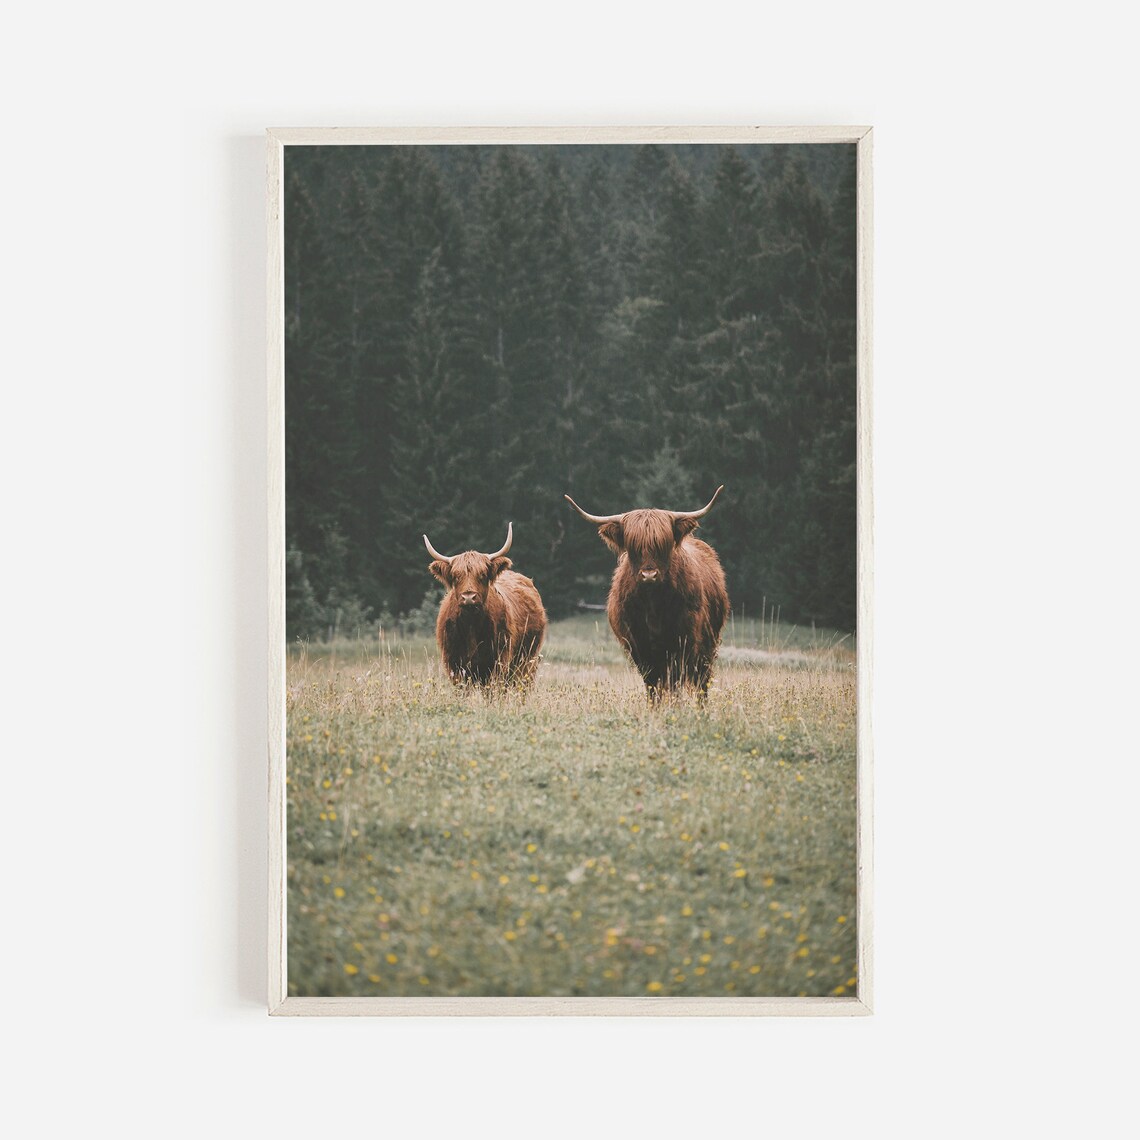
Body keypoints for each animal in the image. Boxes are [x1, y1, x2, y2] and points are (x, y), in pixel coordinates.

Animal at [423, 523, 547, 689]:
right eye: (456, 576)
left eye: (482, 575)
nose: (469, 597)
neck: (471, 625)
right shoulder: (454, 664)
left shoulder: (498, 661)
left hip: (528, 660)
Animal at [564, 486, 729, 703]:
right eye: (633, 547)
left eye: (663, 545)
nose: (649, 575)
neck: (654, 605)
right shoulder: (639, 646)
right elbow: (652, 683)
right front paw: (655, 706)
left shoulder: (683, 642)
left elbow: (675, 680)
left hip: (708, 644)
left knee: (701, 680)